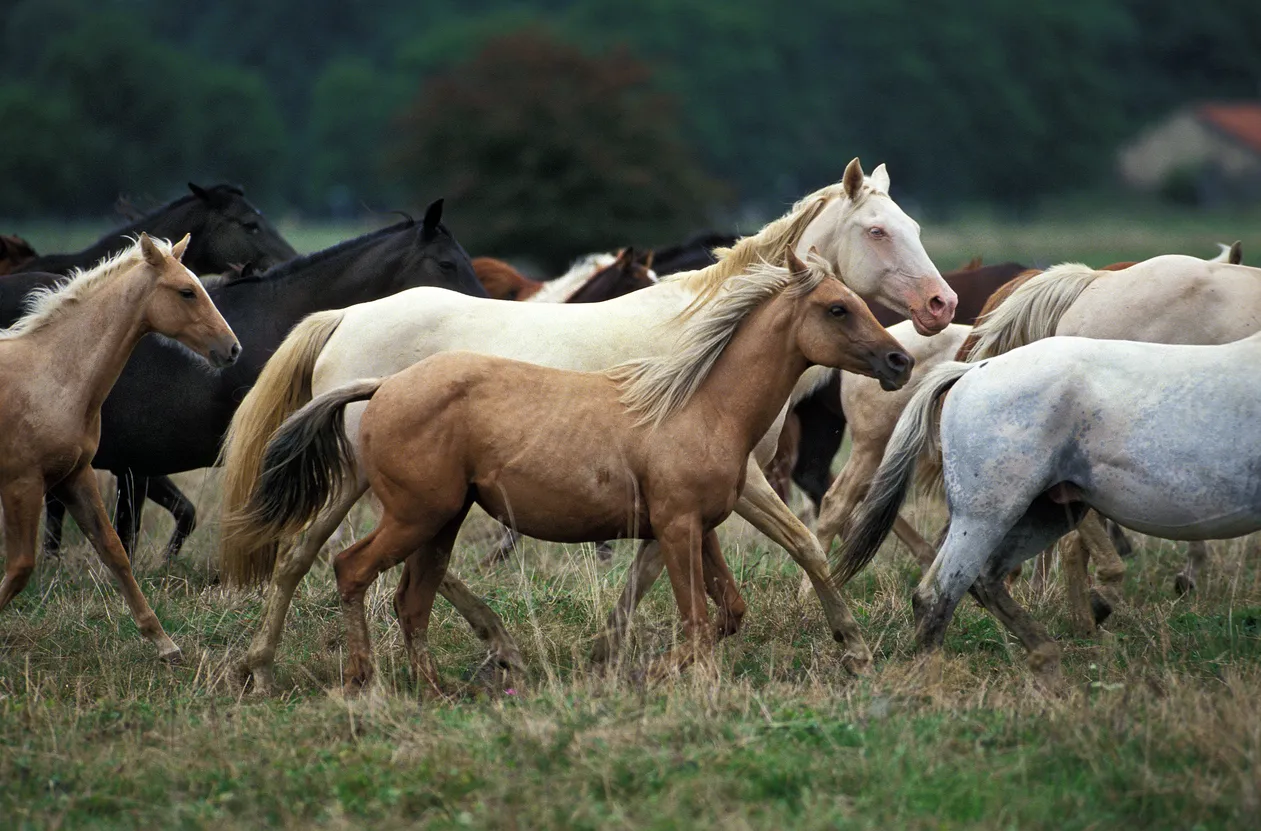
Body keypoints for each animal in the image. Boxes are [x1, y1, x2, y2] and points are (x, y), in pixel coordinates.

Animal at [0, 234, 239, 662]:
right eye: (187, 292)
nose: (232, 348)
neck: (51, 376)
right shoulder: (21, 484)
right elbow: (21, 567)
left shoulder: (74, 477)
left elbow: (114, 550)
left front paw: (164, 643)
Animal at [218, 158, 957, 694]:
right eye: (877, 231)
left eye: (917, 226)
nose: (940, 305)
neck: (706, 344)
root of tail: (345, 317)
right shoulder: (734, 481)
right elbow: (800, 544)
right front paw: (848, 643)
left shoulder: (698, 495)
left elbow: (667, 568)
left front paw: (613, 650)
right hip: (396, 487)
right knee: (357, 560)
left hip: (367, 480)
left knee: (306, 555)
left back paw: (262, 663)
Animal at [831, 332, 1261, 677]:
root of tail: (975, 369)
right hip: (988, 515)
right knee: (939, 592)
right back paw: (931, 678)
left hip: (1043, 513)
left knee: (985, 580)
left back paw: (1047, 656)